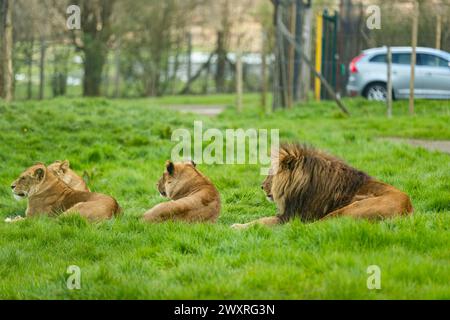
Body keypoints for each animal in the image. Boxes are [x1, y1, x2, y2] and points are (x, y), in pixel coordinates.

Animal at [234, 144, 414, 229]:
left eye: (271, 174)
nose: (261, 186)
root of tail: (406, 211)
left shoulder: (293, 215)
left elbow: (262, 221)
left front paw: (236, 226)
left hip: (352, 208)